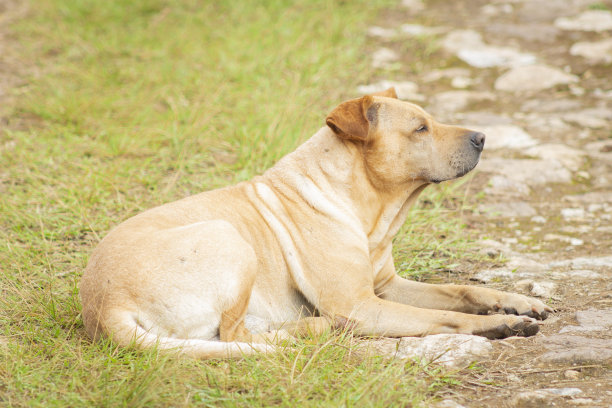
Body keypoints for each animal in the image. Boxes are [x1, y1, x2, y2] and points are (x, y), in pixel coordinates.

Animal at [79, 88, 552, 356]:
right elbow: (448, 317)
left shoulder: (386, 287)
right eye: (420, 129)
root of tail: (104, 306)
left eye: (431, 121)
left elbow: (464, 291)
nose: (482, 138)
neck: (367, 209)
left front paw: (515, 301)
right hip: (228, 237)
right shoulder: (363, 305)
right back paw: (315, 329)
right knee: (236, 334)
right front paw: (499, 324)